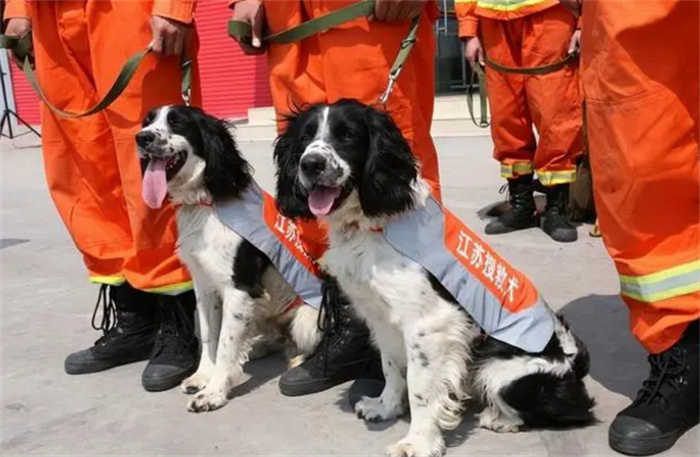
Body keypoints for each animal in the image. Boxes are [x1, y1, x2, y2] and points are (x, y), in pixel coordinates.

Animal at [137, 105, 322, 412]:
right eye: (147, 121)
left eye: (178, 123)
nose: (141, 138)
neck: (205, 203)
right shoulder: (204, 285)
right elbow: (210, 334)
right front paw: (202, 377)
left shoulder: (239, 288)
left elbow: (225, 342)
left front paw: (213, 392)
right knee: (274, 337)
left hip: (307, 318)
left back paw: (298, 358)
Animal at [274, 100, 596, 456]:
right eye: (305, 138)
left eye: (347, 135)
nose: (310, 164)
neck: (373, 223)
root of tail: (575, 363)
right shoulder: (382, 319)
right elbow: (391, 367)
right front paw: (385, 407)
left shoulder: (430, 325)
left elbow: (421, 390)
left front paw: (418, 441)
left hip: (502, 372)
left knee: (565, 411)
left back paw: (500, 419)